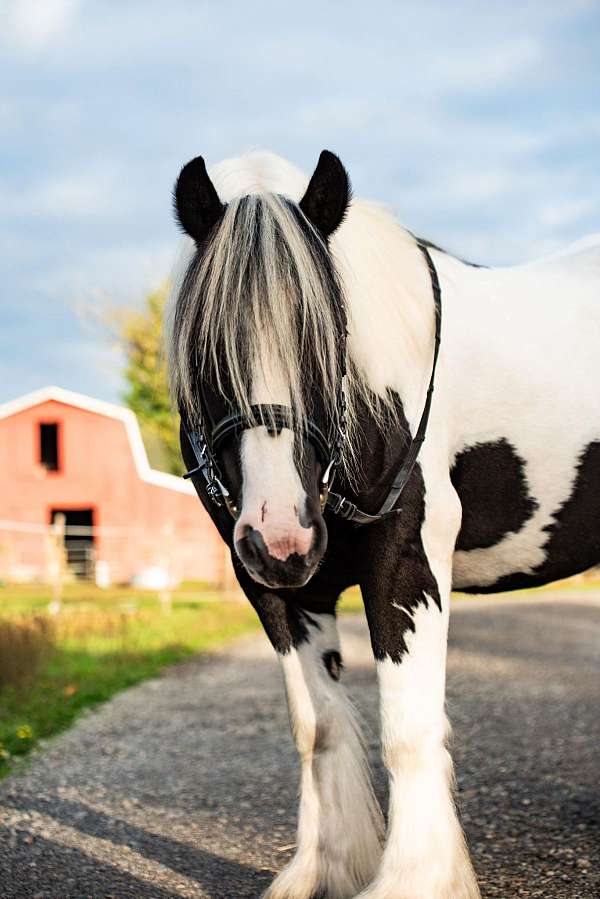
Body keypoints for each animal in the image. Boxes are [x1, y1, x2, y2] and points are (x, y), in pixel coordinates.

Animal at [165, 149, 600, 899]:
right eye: (207, 350)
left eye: (331, 340)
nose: (282, 538)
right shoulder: (277, 591)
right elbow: (320, 728)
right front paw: (324, 867)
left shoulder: (406, 556)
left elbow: (406, 728)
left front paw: (413, 879)